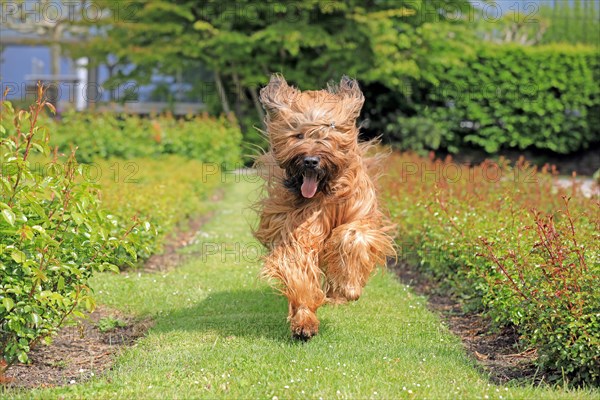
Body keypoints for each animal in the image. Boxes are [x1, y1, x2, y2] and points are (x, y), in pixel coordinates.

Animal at [252, 74, 394, 338]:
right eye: (298, 135)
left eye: (327, 134)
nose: (310, 160)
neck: (324, 193)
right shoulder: (300, 225)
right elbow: (299, 262)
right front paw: (304, 319)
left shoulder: (361, 215)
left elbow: (352, 235)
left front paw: (348, 287)